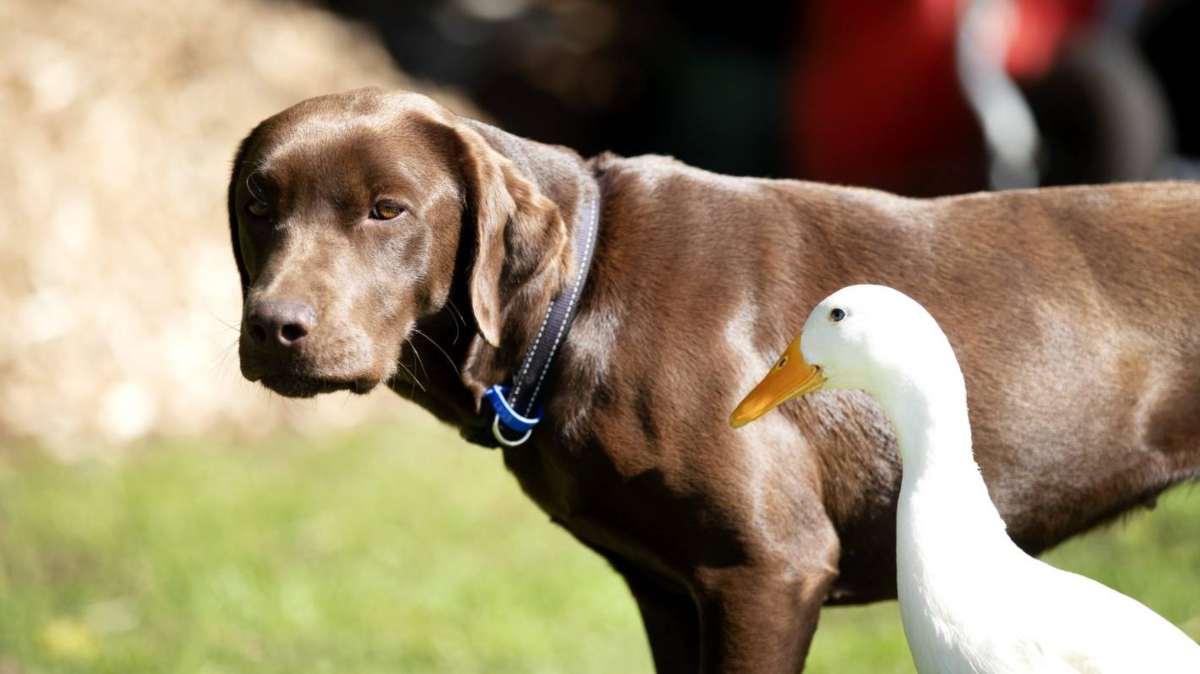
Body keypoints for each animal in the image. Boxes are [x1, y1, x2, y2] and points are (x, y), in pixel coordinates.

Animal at [226, 86, 1200, 666]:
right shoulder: (668, 589)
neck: (585, 292)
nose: (274, 329)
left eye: (387, 210)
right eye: (257, 202)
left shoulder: (767, 572)